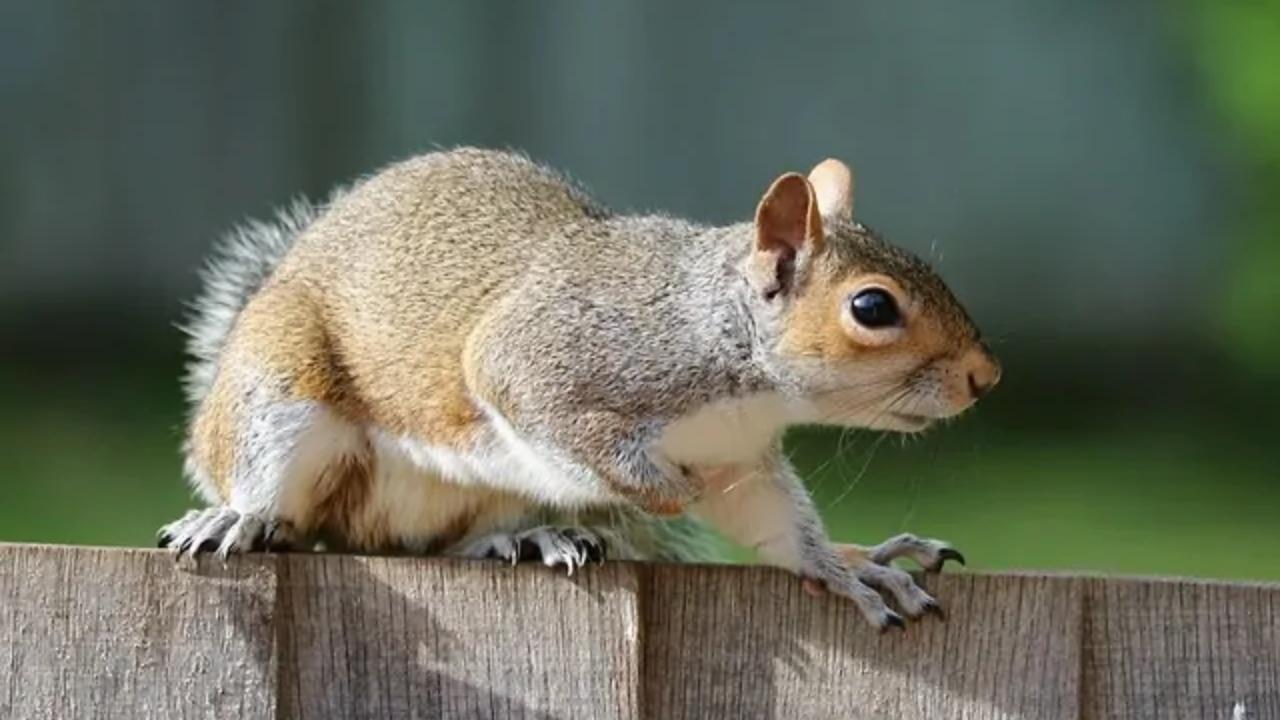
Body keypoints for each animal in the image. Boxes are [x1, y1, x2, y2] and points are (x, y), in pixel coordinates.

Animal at [159, 148, 1000, 629]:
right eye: (872, 308)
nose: (984, 377)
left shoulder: (738, 458)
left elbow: (775, 524)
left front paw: (849, 567)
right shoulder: (543, 360)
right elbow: (555, 418)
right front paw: (661, 491)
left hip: (475, 498)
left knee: (429, 543)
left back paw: (523, 537)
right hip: (280, 392)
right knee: (288, 504)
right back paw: (238, 518)